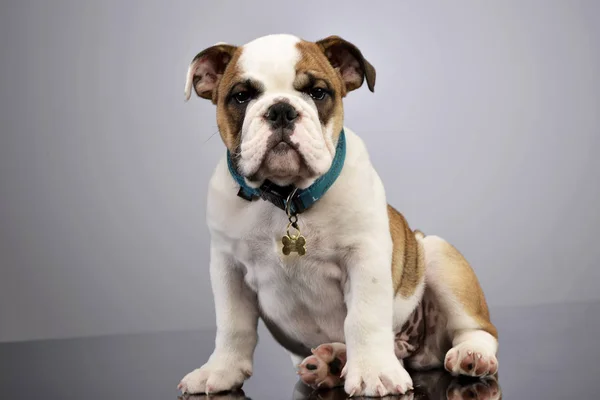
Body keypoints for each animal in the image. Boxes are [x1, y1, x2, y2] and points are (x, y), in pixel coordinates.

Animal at [178, 33, 496, 396]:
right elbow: (232, 325)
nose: (281, 110)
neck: (287, 197)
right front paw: (221, 370)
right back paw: (332, 363)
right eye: (241, 96)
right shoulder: (228, 267)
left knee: (477, 329)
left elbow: (363, 318)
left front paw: (373, 371)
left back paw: (472, 355)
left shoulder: (365, 257)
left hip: (439, 255)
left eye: (318, 93)